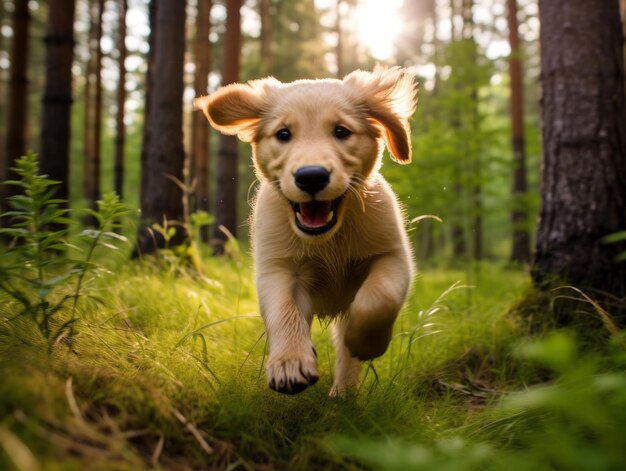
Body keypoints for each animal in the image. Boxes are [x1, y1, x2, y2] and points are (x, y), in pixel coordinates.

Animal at [197, 66, 416, 396]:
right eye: (283, 134)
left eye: (341, 131)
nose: (311, 177)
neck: (328, 239)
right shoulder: (278, 269)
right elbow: (284, 311)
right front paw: (289, 364)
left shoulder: (392, 255)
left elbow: (380, 298)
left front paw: (365, 342)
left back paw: (344, 392)